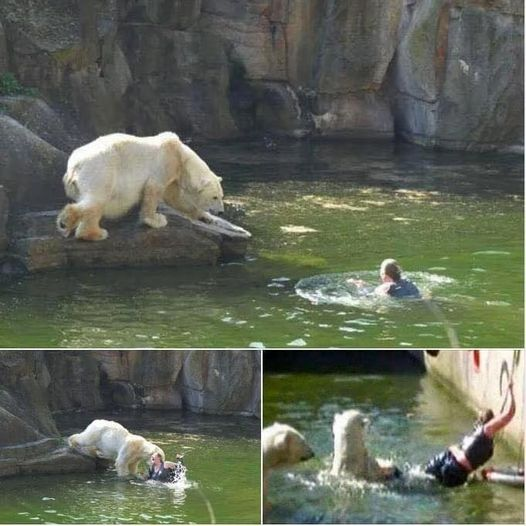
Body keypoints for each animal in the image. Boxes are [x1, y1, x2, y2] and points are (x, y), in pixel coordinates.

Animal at [56, 134, 225, 243]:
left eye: (221, 196)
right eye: (215, 197)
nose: (221, 211)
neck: (181, 156)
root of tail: (74, 165)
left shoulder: (174, 174)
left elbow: (176, 199)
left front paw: (207, 217)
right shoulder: (166, 163)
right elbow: (154, 189)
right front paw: (156, 220)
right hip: (100, 170)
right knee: (97, 200)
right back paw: (92, 231)